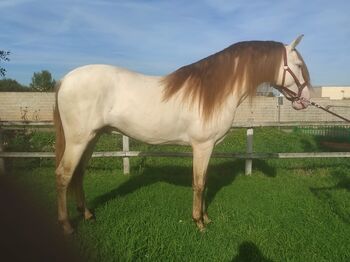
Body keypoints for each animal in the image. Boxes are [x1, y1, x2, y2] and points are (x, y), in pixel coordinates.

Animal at [54, 34, 312, 233]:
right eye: (299, 65)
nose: (306, 100)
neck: (214, 91)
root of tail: (65, 79)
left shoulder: (209, 147)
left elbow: (205, 182)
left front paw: (206, 217)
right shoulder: (202, 146)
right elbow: (198, 183)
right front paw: (199, 223)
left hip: (92, 138)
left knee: (78, 174)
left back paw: (87, 215)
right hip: (78, 140)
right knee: (63, 175)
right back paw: (66, 224)